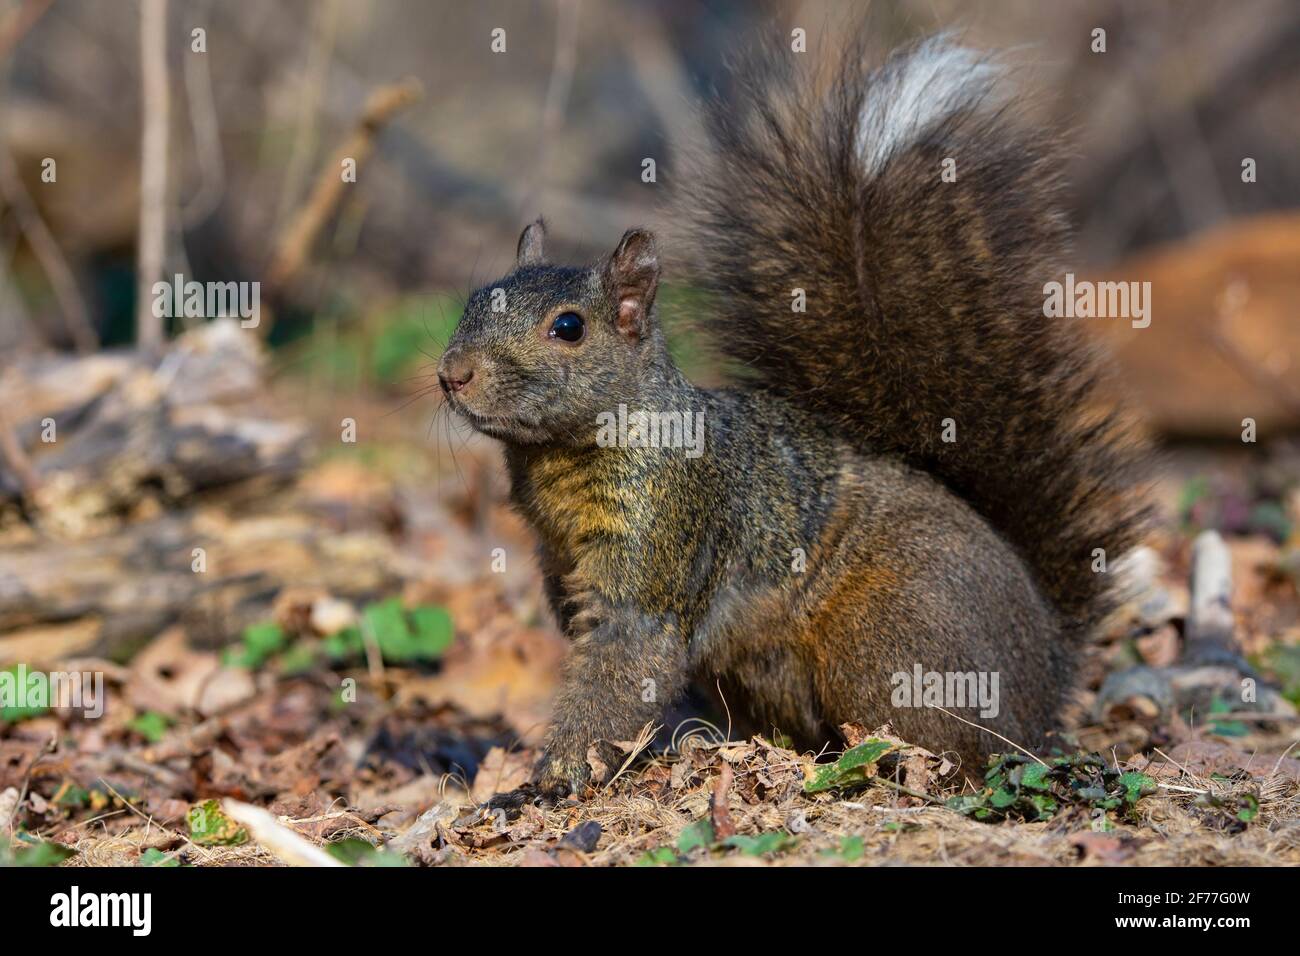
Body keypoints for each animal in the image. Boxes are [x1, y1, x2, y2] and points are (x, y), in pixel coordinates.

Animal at [436, 33, 1149, 796]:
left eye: (568, 327)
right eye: (475, 299)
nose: (452, 374)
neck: (563, 454)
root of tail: (1047, 666)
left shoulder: (662, 547)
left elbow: (624, 665)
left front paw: (552, 777)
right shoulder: (564, 566)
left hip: (894, 639)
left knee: (963, 747)